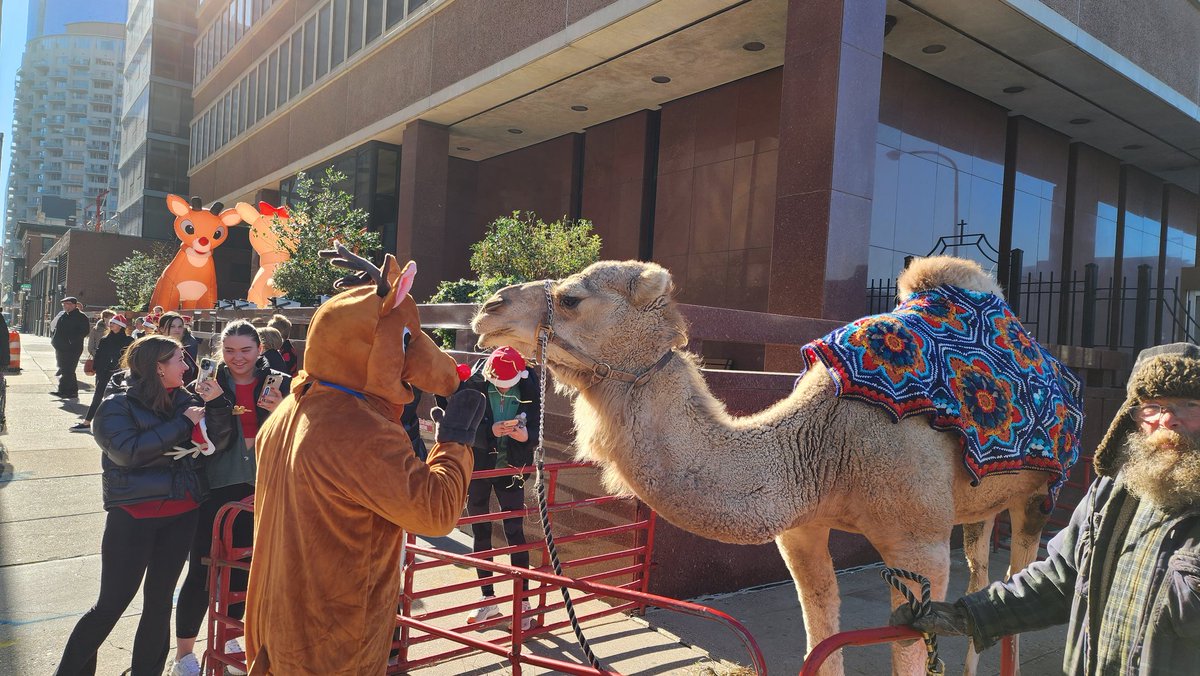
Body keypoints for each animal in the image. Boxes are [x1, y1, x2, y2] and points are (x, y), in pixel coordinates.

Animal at [471, 256, 1077, 676]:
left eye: (571, 298)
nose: (488, 307)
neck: (819, 445)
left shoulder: (918, 544)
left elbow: (908, 646)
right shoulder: (801, 530)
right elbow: (819, 633)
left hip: (1040, 492)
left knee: (1020, 576)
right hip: (978, 501)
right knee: (980, 569)